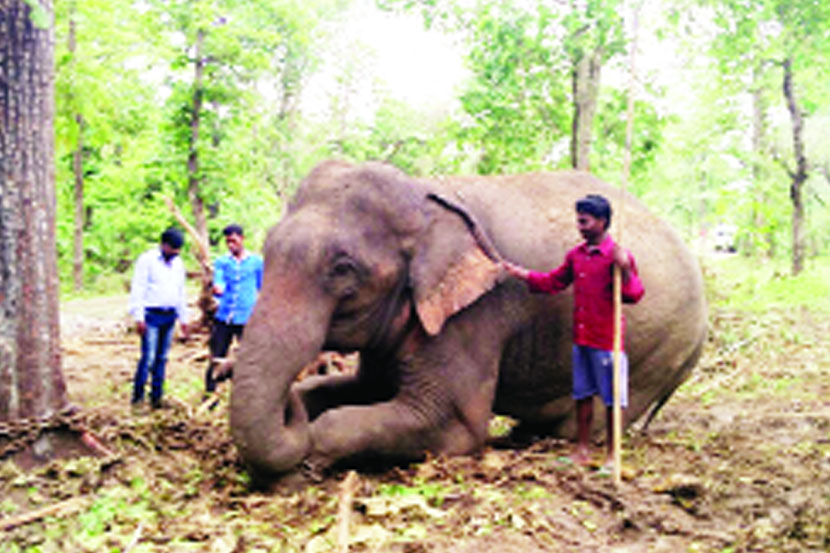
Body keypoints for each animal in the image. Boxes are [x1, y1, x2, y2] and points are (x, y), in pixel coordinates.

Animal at [230, 160, 707, 483]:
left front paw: (301, 467)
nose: (286, 410)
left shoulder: (473, 317)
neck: (424, 193)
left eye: (343, 269)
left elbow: (453, 426)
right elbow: (362, 390)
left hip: (660, 355)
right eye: (266, 247)